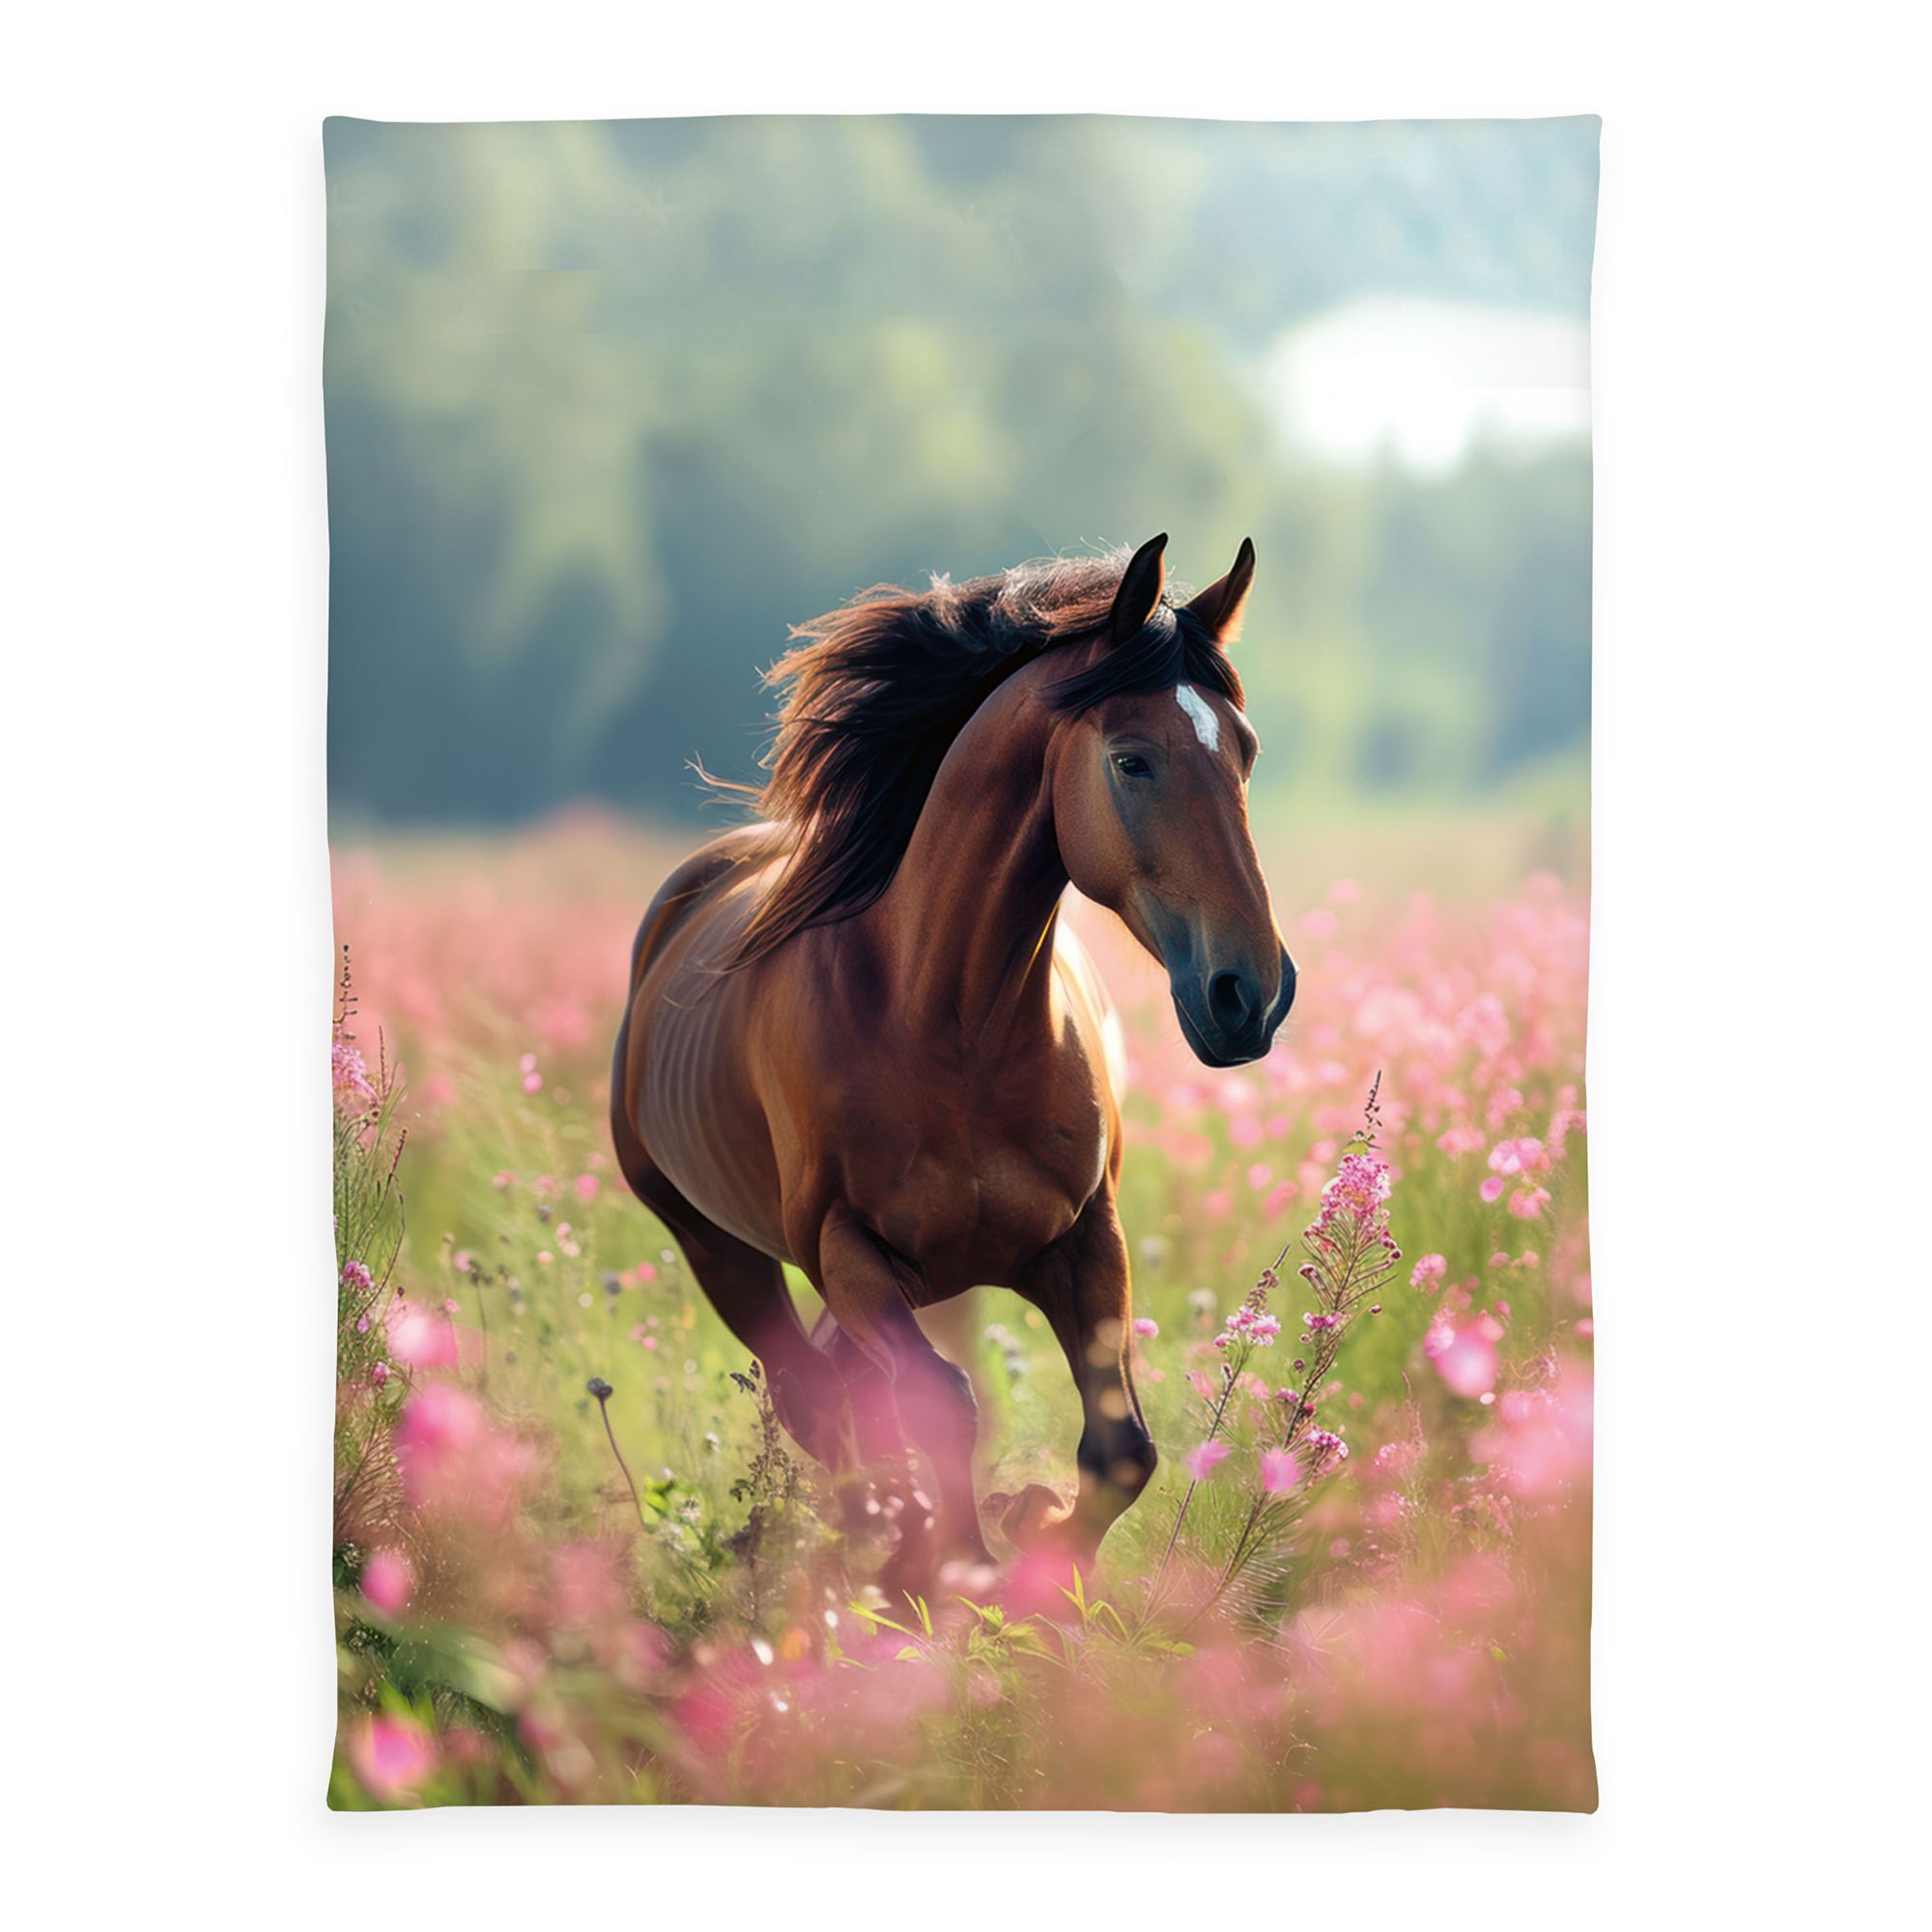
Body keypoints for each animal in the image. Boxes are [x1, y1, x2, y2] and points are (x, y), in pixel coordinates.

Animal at [611, 534, 1294, 1580]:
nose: (1249, 995)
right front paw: (961, 1569)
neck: (947, 1027)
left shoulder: (1083, 1238)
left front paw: (1039, 1556)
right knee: (820, 1405)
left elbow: (1120, 1448)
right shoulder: (848, 1251)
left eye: (1245, 750)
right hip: (721, 1250)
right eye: (1131, 760)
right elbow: (940, 1408)